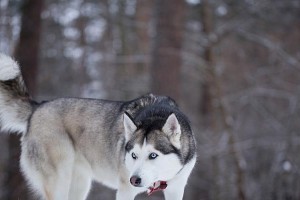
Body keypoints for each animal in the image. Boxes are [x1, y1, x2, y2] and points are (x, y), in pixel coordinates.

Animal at [0, 53, 197, 200]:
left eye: (153, 155)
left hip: (79, 184)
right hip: (59, 181)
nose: (135, 179)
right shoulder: (125, 191)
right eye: (134, 155)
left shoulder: (176, 188)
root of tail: (38, 107)